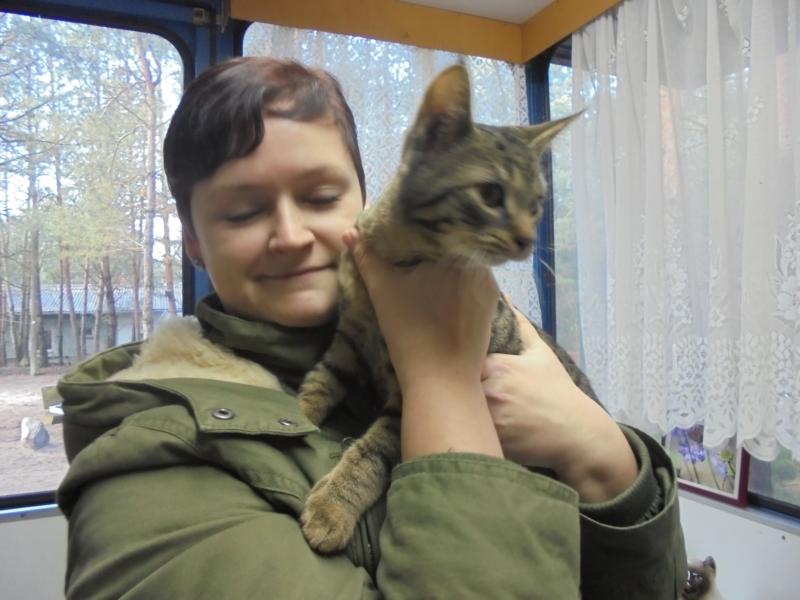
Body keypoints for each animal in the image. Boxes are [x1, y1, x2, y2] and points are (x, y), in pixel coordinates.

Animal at [298, 64, 593, 553]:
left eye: (536, 205)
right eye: (490, 193)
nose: (528, 240)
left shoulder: (407, 398)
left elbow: (373, 450)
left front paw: (333, 504)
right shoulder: (348, 339)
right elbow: (321, 380)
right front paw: (296, 415)